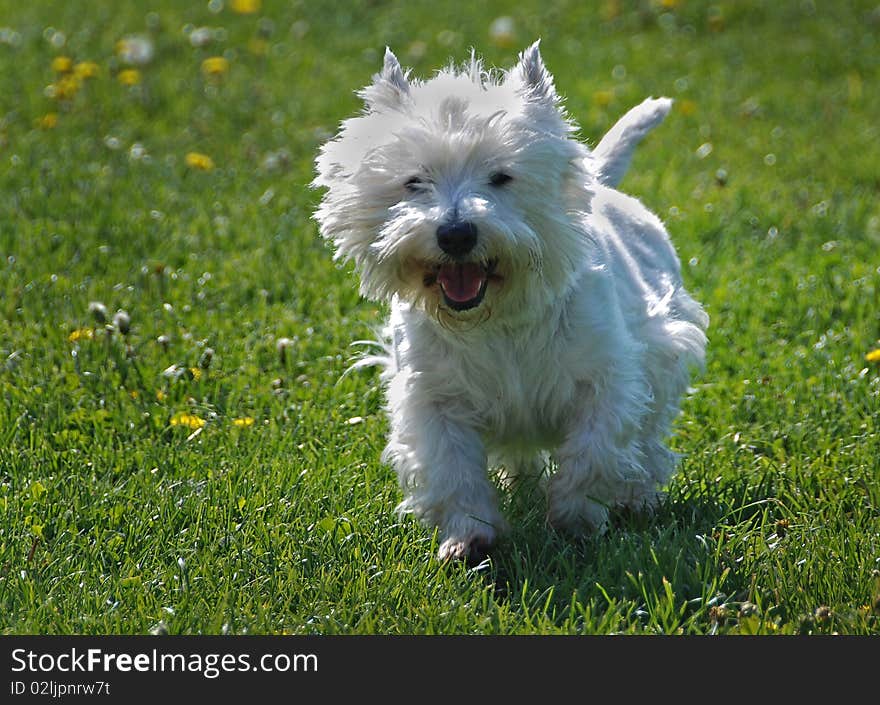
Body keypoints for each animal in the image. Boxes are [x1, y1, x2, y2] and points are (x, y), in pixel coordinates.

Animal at [312, 42, 708, 560]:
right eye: (414, 181)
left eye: (501, 177)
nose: (456, 234)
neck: (496, 318)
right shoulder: (433, 395)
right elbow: (453, 468)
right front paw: (469, 537)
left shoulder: (609, 376)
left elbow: (594, 450)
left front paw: (574, 519)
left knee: (649, 439)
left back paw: (638, 499)